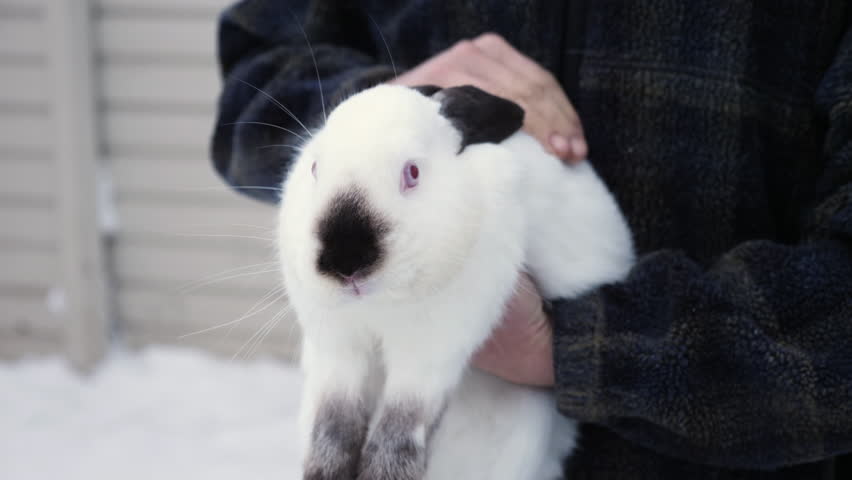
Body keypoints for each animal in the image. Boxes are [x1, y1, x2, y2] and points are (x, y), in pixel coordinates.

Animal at [276, 83, 635, 480]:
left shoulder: (430, 353)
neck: (379, 303)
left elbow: (400, 429)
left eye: (413, 172)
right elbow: (333, 425)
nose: (346, 262)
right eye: (314, 168)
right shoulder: (338, 350)